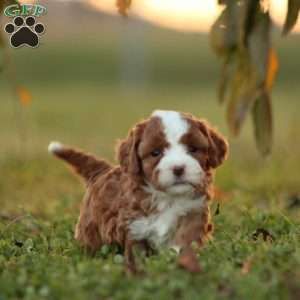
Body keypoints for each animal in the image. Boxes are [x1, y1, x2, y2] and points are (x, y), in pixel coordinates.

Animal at [48, 109, 227, 272]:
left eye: (193, 149)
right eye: (155, 153)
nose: (178, 168)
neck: (168, 197)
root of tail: (103, 170)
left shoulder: (194, 212)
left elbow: (185, 240)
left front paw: (184, 261)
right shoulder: (136, 224)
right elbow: (137, 252)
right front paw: (136, 270)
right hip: (90, 226)